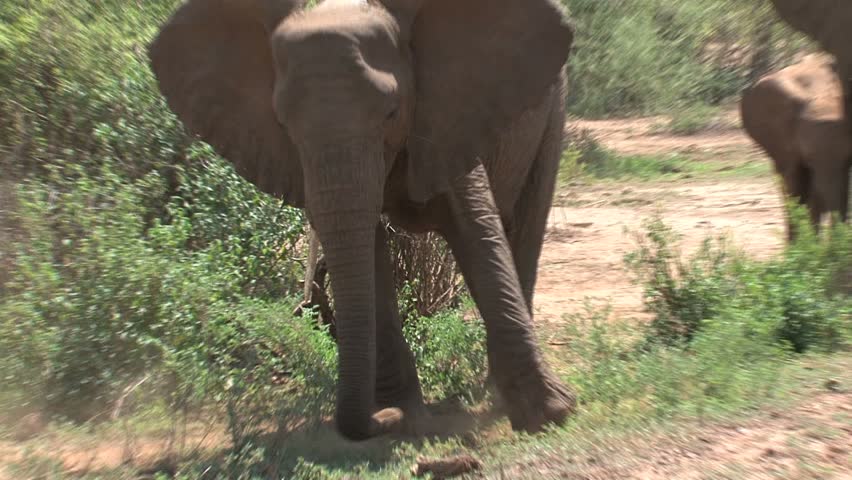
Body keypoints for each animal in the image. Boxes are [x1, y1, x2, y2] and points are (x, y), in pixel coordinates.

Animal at [148, 0, 576, 441]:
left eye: (391, 112)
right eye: (282, 124)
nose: (382, 419)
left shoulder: (447, 112)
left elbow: (477, 234)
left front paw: (550, 416)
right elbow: (367, 253)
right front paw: (402, 417)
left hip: (553, 109)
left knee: (522, 226)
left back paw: (493, 394)